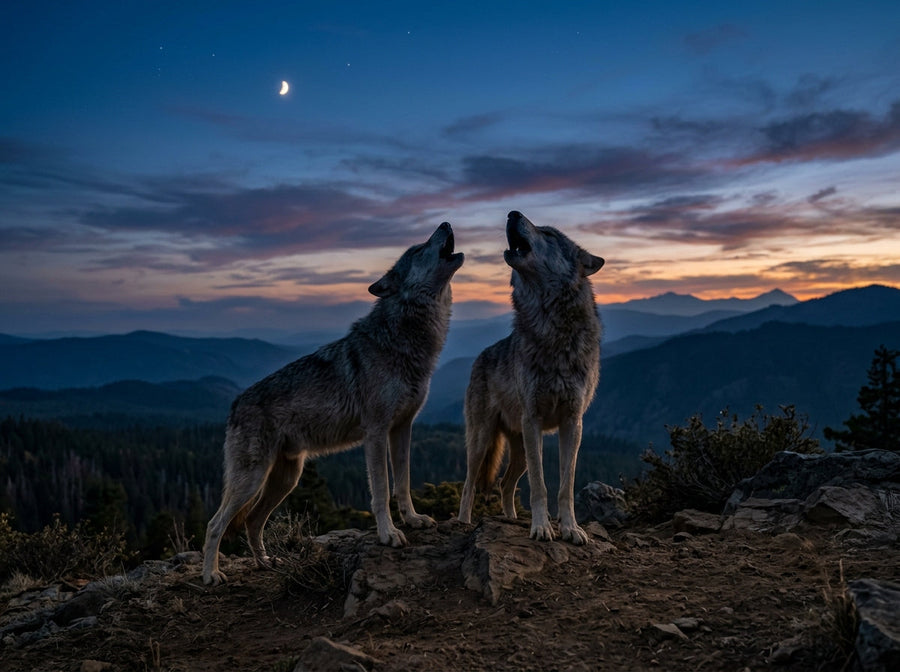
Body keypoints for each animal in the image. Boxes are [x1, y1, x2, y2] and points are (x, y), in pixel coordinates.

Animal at [202, 222, 464, 585]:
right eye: (418, 249)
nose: (445, 224)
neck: (405, 338)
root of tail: (235, 404)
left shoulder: (402, 429)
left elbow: (403, 483)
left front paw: (413, 519)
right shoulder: (376, 433)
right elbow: (381, 490)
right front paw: (388, 534)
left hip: (286, 478)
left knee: (253, 520)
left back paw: (265, 562)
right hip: (253, 478)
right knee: (215, 523)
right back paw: (211, 575)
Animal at [457, 211, 603, 545]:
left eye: (549, 234)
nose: (512, 213)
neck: (552, 328)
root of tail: (480, 356)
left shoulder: (572, 423)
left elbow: (565, 486)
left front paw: (570, 529)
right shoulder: (533, 420)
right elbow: (540, 485)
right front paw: (541, 527)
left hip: (521, 448)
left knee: (505, 484)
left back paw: (511, 519)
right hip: (484, 440)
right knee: (469, 484)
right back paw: (464, 523)